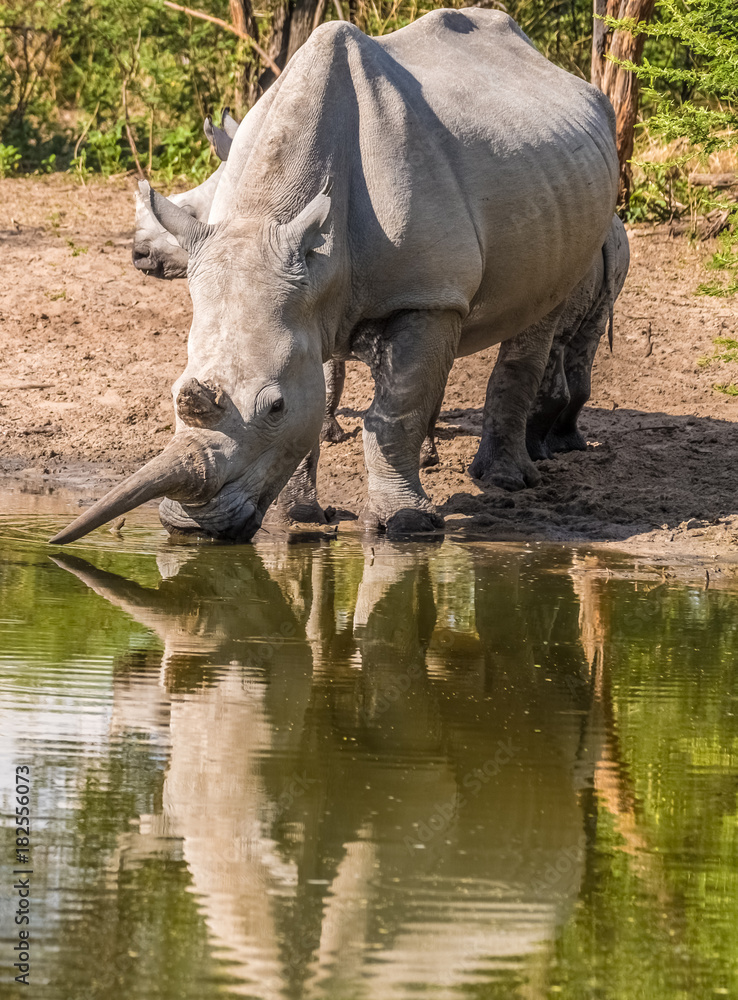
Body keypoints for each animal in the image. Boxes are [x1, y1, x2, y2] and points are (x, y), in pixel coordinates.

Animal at [51, 9, 618, 546]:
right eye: (173, 393)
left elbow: (394, 414)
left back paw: (504, 480)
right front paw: (301, 516)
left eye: (274, 406)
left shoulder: (423, 294)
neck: (269, 214)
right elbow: (320, 395)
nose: (195, 527)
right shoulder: (306, 294)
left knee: (540, 312)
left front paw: (408, 524)